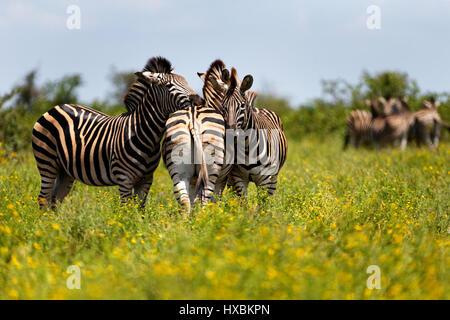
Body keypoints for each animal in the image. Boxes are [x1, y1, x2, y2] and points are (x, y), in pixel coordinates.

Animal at [32, 56, 198, 209]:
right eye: (169, 85)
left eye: (186, 82)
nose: (199, 100)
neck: (144, 134)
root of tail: (56, 107)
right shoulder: (124, 178)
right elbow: (126, 210)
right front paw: (126, 222)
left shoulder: (146, 179)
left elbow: (140, 209)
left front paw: (139, 222)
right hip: (47, 163)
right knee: (43, 198)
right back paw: (45, 222)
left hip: (65, 170)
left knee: (55, 199)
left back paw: (57, 222)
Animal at [219, 68, 288, 196]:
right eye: (223, 105)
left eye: (242, 105)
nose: (230, 135)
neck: (247, 147)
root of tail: (258, 108)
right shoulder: (238, 178)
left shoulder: (265, 180)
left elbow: (261, 201)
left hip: (273, 178)